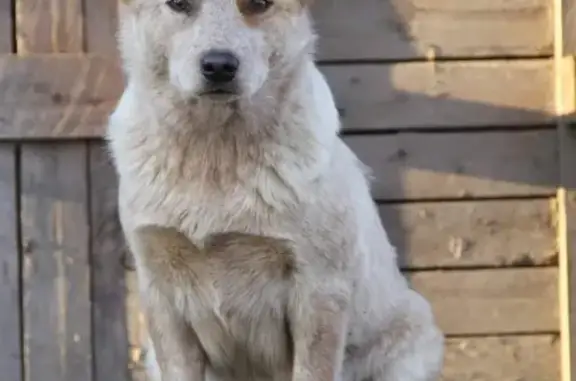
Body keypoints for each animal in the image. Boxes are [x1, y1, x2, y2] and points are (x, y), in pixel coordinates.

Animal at [107, 0, 446, 380]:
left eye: (258, 4)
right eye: (178, 4)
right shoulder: (160, 291)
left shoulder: (319, 291)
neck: (217, 155)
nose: (219, 66)